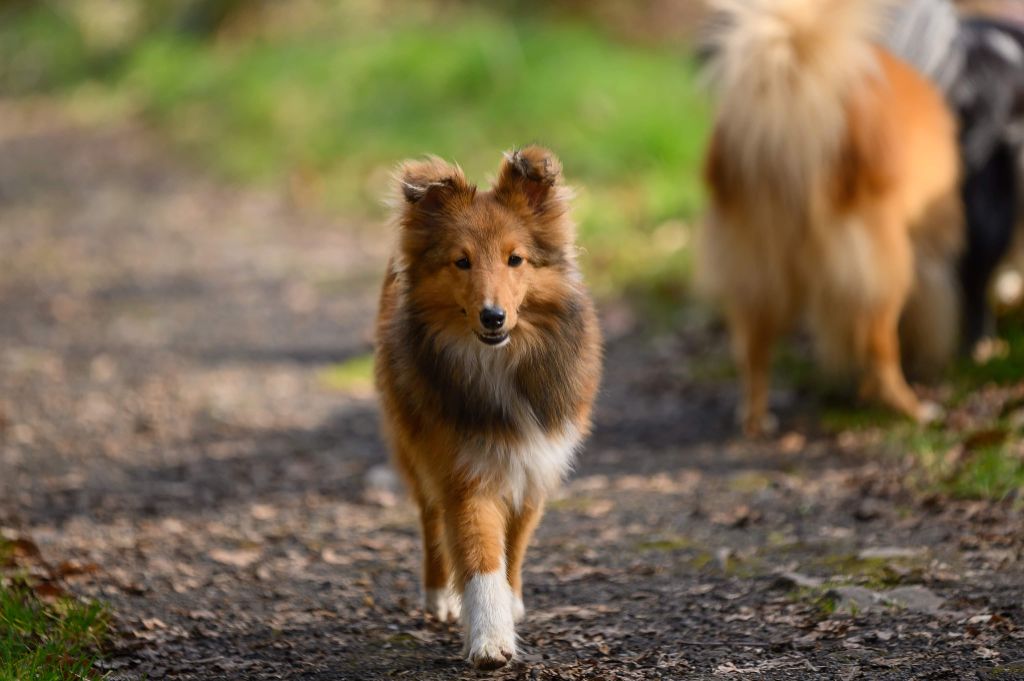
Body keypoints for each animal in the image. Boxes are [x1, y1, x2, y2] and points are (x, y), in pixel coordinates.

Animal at [374, 144, 598, 667]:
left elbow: (513, 545)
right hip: (413, 445)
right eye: (462, 262)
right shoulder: (463, 470)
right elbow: (480, 554)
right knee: (430, 519)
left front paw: (510, 605)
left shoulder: (536, 462)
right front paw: (490, 639)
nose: (492, 316)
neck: (498, 362)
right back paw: (439, 595)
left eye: (515, 259)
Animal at [700, 0, 962, 436]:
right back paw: (911, 409)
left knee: (752, 349)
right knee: (879, 346)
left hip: (761, 269)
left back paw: (755, 419)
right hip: (883, 268)